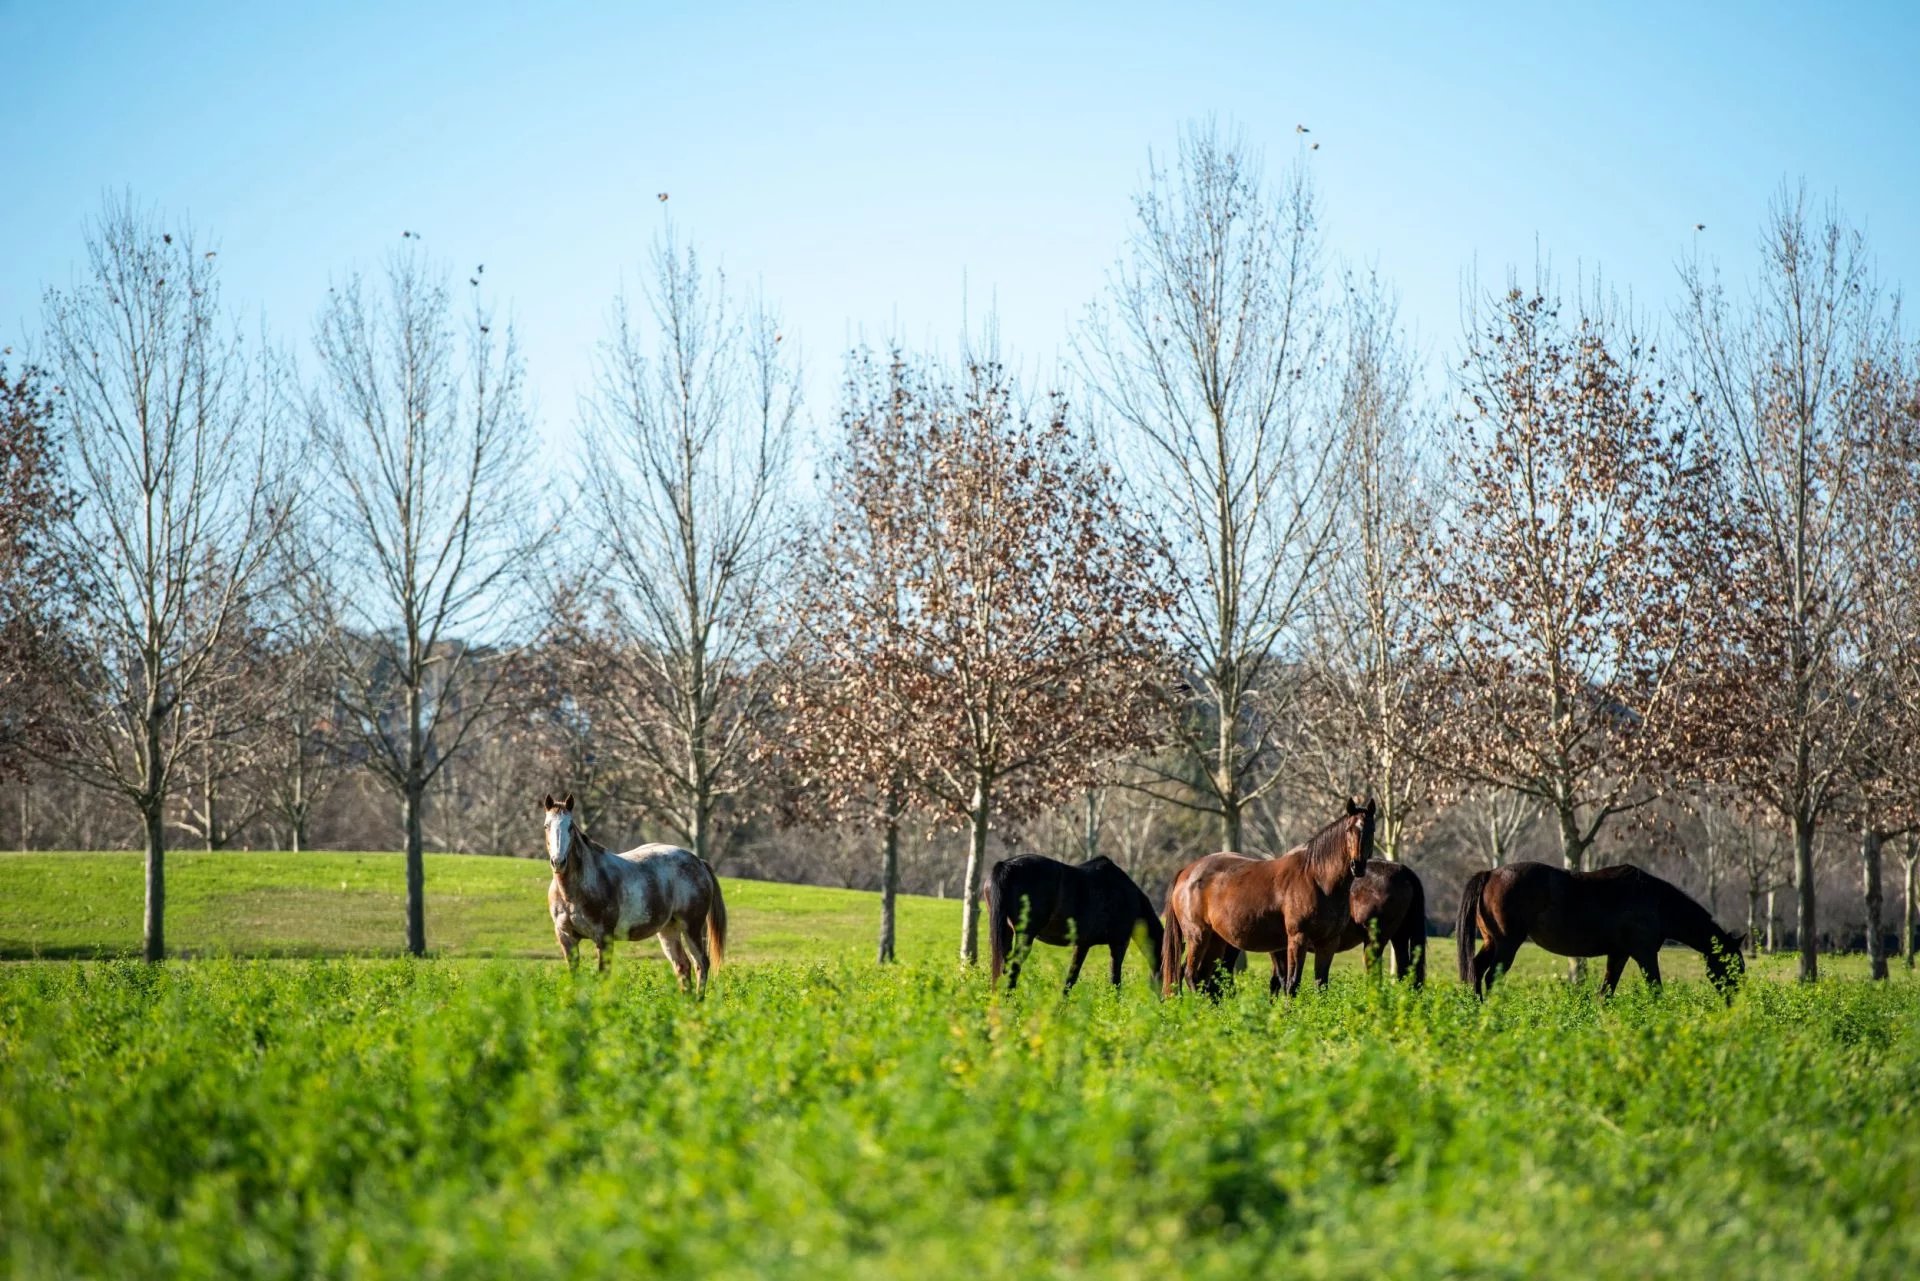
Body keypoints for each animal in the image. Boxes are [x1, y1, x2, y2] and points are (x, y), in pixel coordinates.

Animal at [545, 791, 729, 990]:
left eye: (570, 826)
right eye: (547, 825)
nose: (558, 862)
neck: (573, 894)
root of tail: (699, 862)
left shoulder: (604, 938)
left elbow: (603, 976)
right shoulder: (566, 938)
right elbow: (574, 976)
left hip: (692, 927)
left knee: (701, 963)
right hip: (669, 929)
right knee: (682, 966)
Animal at [990, 856, 1167, 998]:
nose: (1167, 1001)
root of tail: (1006, 866)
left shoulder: (1083, 944)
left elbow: (1070, 980)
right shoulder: (1119, 944)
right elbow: (1115, 981)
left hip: (1007, 934)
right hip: (1025, 936)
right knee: (1012, 970)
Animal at [1159, 802, 1374, 998]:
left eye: (1371, 829)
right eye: (1349, 830)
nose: (1357, 865)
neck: (1317, 879)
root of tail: (1186, 872)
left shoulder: (1328, 942)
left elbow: (1321, 985)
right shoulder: (1297, 938)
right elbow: (1291, 983)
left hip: (1216, 941)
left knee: (1202, 978)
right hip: (1198, 936)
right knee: (1190, 975)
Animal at [1451, 860, 1758, 998]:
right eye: (1734, 966)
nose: (1736, 1001)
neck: (1655, 901)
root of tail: (1491, 873)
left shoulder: (1619, 954)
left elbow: (1605, 993)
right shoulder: (1645, 954)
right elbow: (1655, 990)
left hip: (1491, 942)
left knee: (1475, 972)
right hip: (1506, 944)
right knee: (1490, 978)